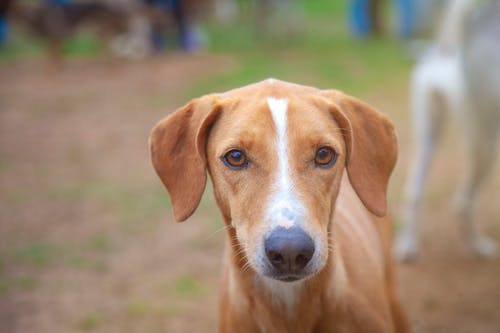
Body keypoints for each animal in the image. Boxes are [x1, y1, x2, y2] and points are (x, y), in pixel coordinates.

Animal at [398, 0, 500, 260]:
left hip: (428, 135)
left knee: (414, 190)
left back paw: (408, 245)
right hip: (484, 143)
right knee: (463, 201)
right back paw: (478, 245)